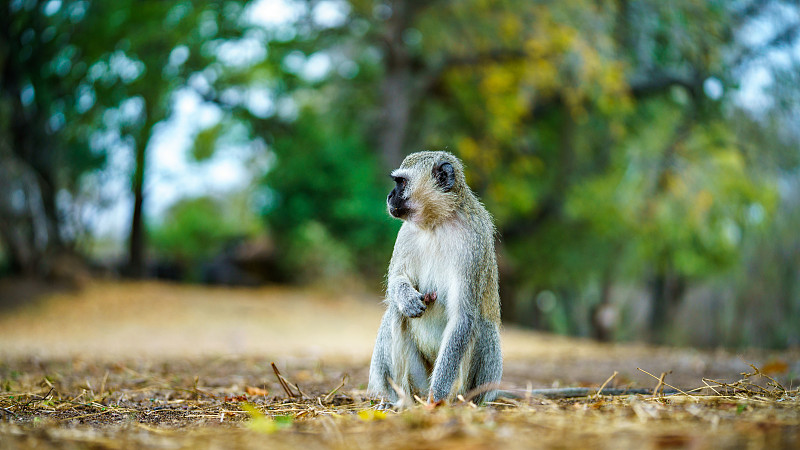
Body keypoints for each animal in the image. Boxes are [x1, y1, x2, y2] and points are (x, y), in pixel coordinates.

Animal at [368, 152, 500, 408]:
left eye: (401, 182)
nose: (388, 196)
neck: (437, 222)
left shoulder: (473, 240)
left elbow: (463, 317)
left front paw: (436, 397)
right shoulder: (405, 234)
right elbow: (396, 281)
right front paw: (406, 296)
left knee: (481, 325)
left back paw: (456, 401)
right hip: (417, 376)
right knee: (395, 313)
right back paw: (402, 401)